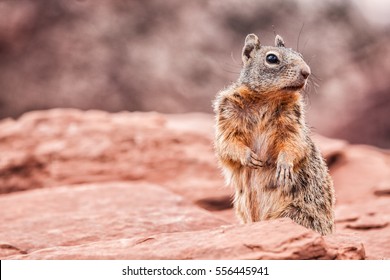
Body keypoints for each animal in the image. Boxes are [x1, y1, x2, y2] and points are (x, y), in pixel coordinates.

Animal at [213, 34, 336, 235]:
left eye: (300, 55)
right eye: (271, 58)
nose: (306, 72)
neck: (267, 99)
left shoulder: (293, 124)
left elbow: (293, 144)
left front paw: (284, 166)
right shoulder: (227, 117)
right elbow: (228, 143)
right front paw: (249, 157)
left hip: (294, 212)